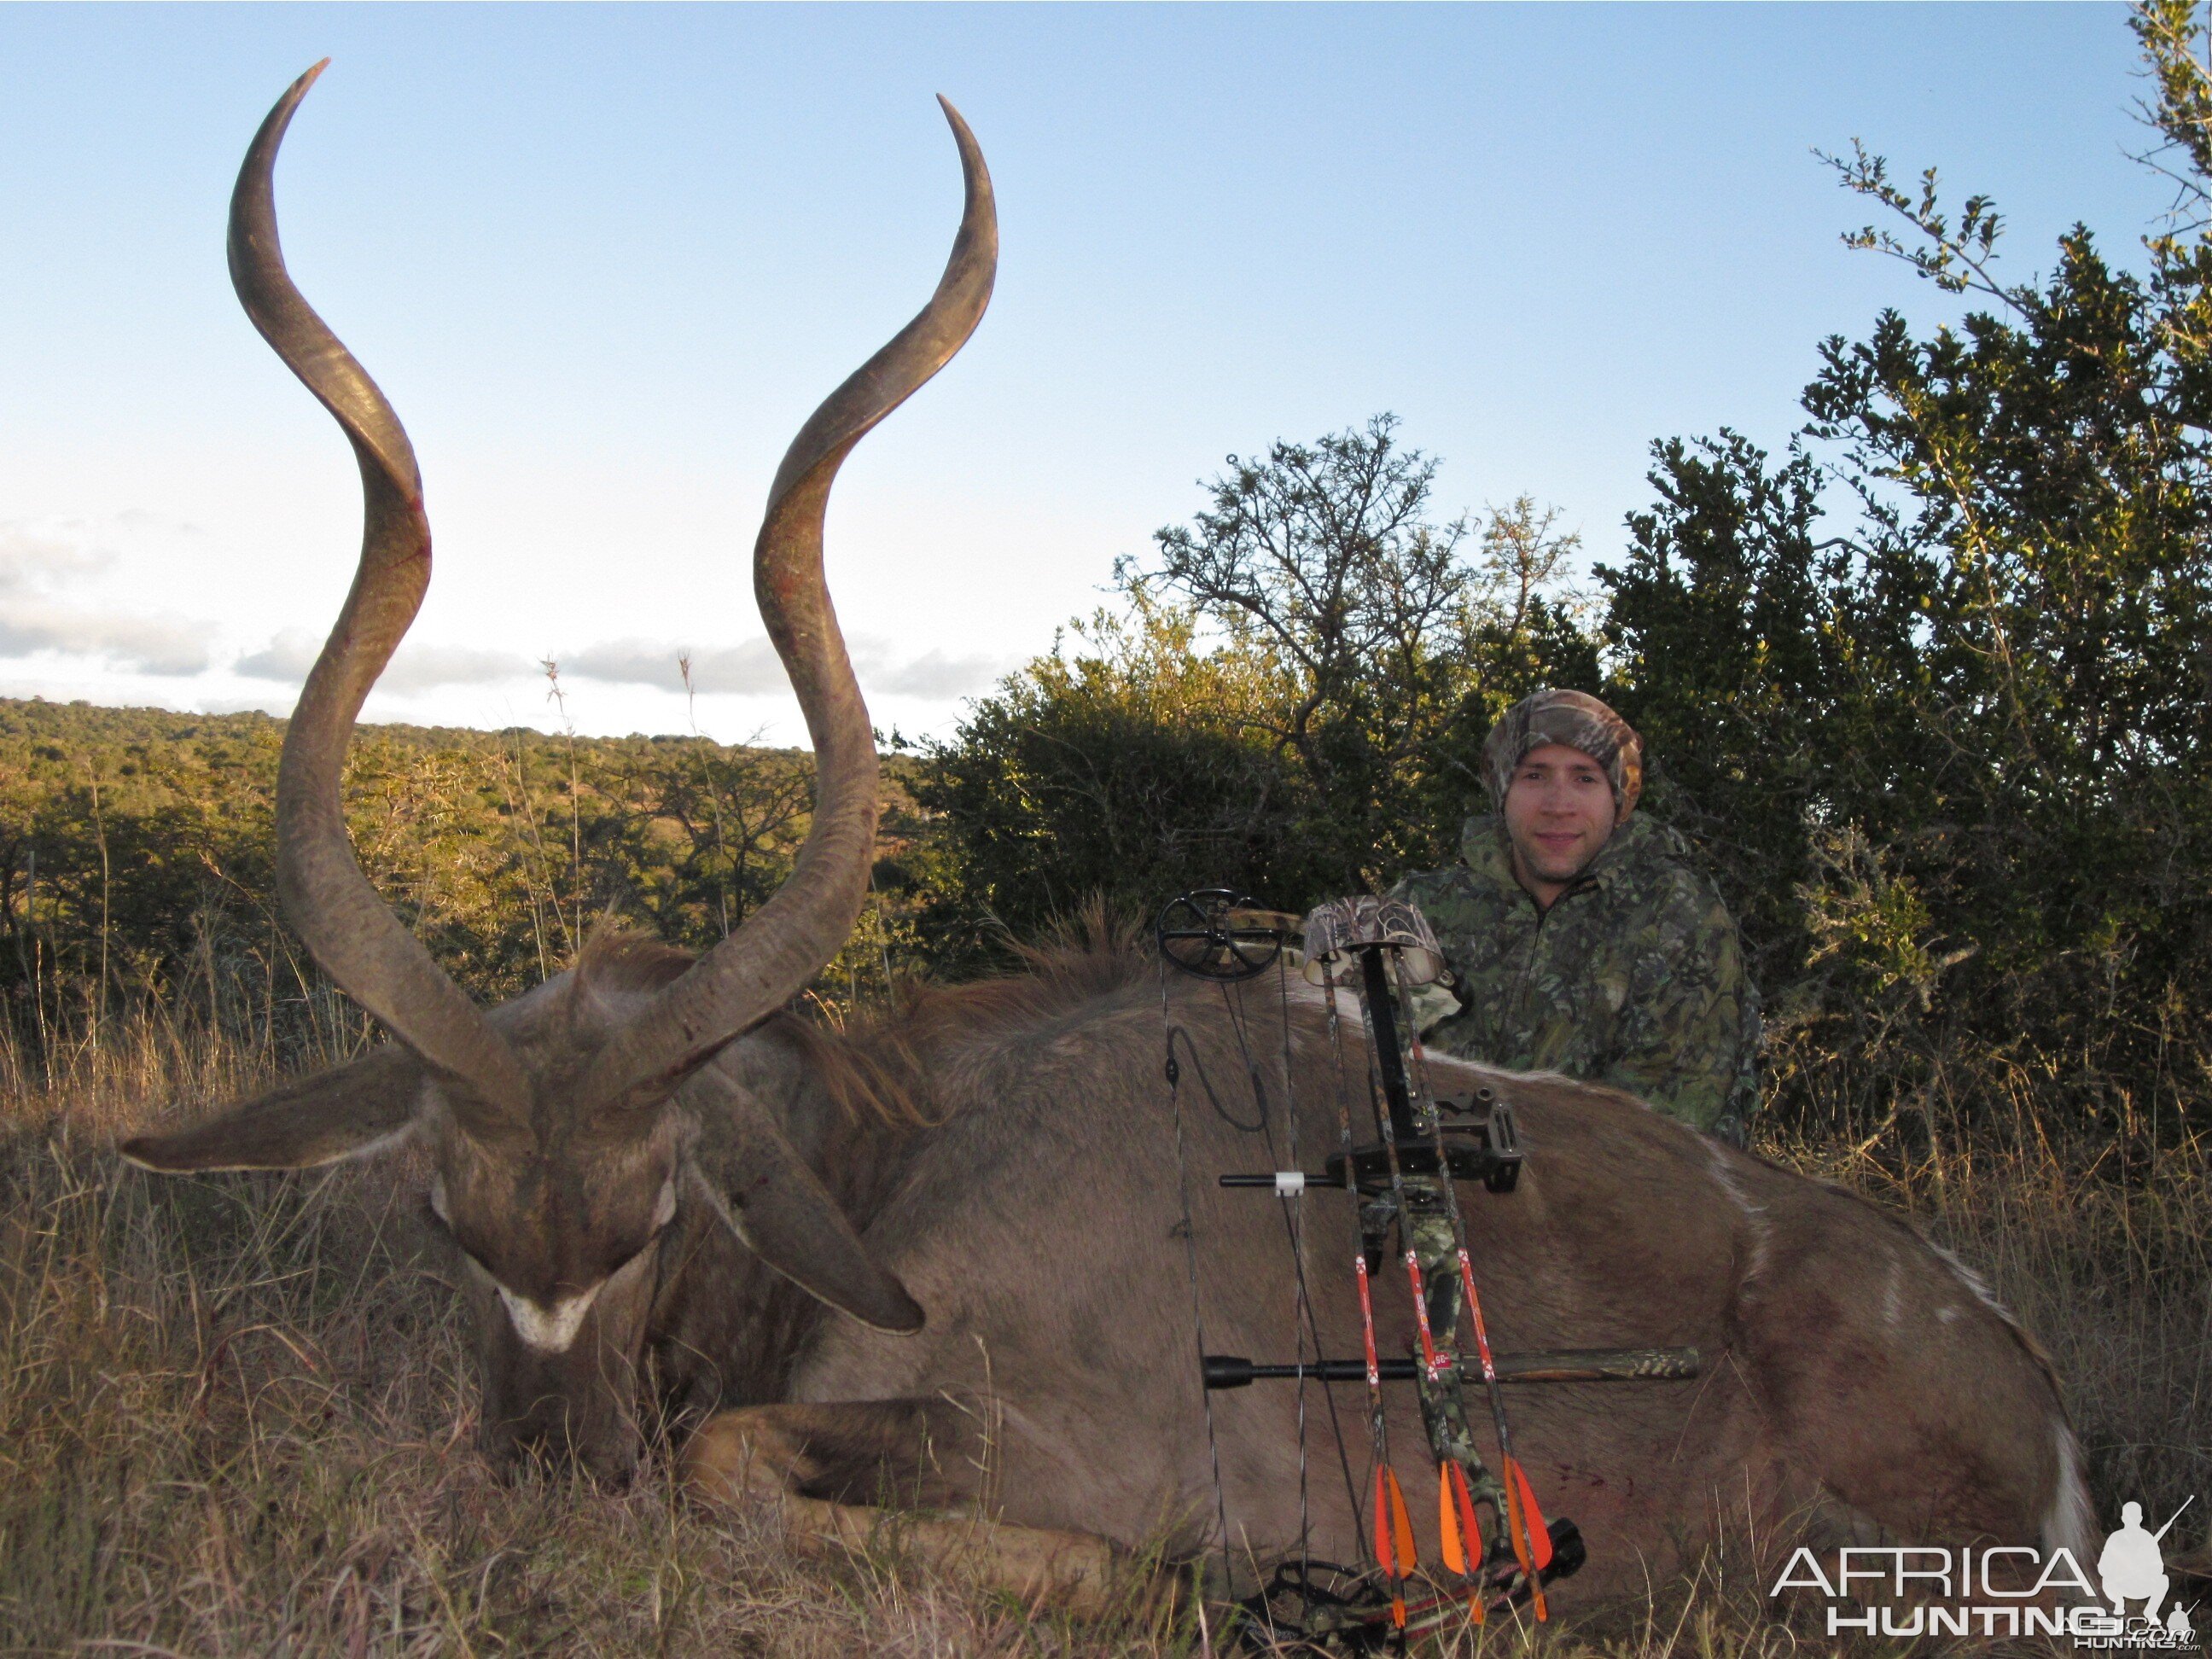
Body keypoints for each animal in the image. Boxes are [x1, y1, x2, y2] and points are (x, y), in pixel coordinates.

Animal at [125, 65, 2087, 1627]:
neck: (899, 1167)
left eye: (656, 1216)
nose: (545, 1477)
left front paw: (1166, 1580)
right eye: (442, 1217)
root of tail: (2037, 1401)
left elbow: (739, 1464)